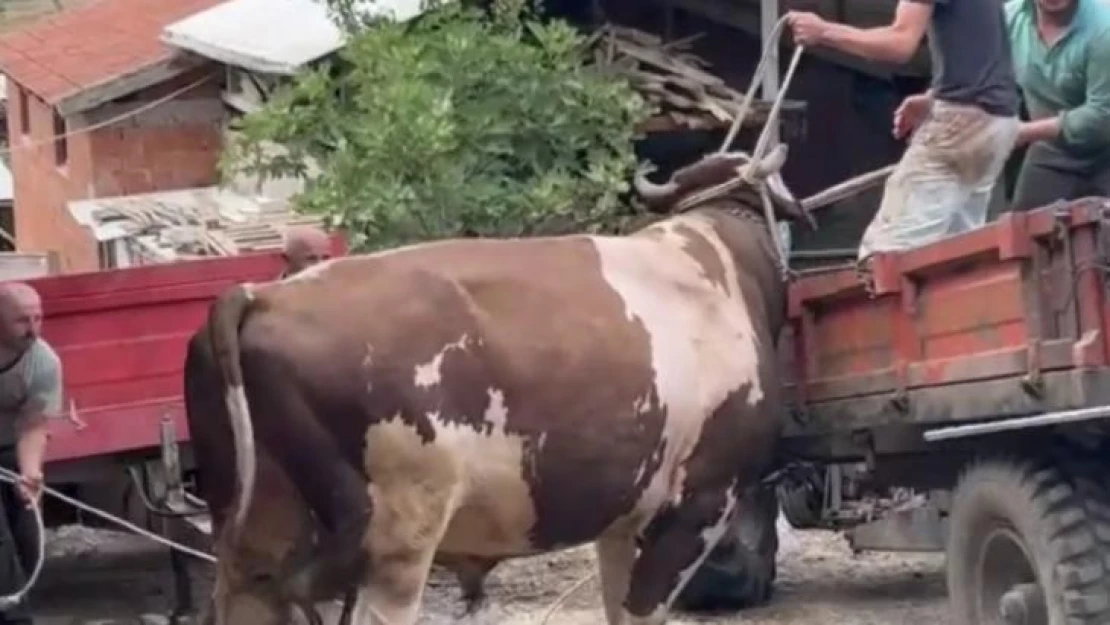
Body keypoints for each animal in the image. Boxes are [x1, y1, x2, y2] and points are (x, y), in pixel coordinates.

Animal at [186, 144, 812, 621]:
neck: (721, 260)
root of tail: (260, 295)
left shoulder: (622, 518)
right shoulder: (702, 502)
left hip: (253, 538)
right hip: (396, 540)